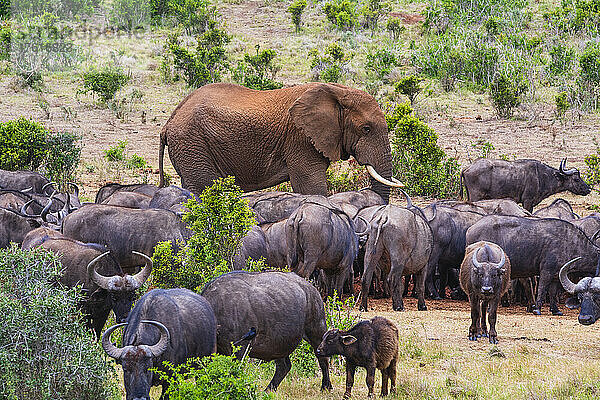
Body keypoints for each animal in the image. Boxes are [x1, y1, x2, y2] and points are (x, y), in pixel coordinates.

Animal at [159, 83, 404, 202]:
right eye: (366, 129)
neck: (339, 91)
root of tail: (169, 122)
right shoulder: (300, 138)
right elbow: (311, 188)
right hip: (192, 142)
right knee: (203, 187)